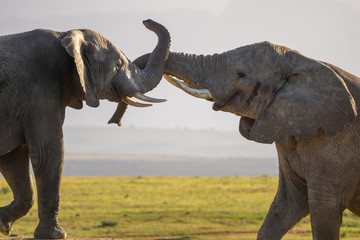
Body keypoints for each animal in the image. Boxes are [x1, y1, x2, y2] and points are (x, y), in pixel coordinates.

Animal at [0, 19, 171, 238]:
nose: (146, 21)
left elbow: (13, 158)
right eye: (117, 66)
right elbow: (48, 154)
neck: (64, 35)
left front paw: (3, 224)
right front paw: (55, 235)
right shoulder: (41, 92)